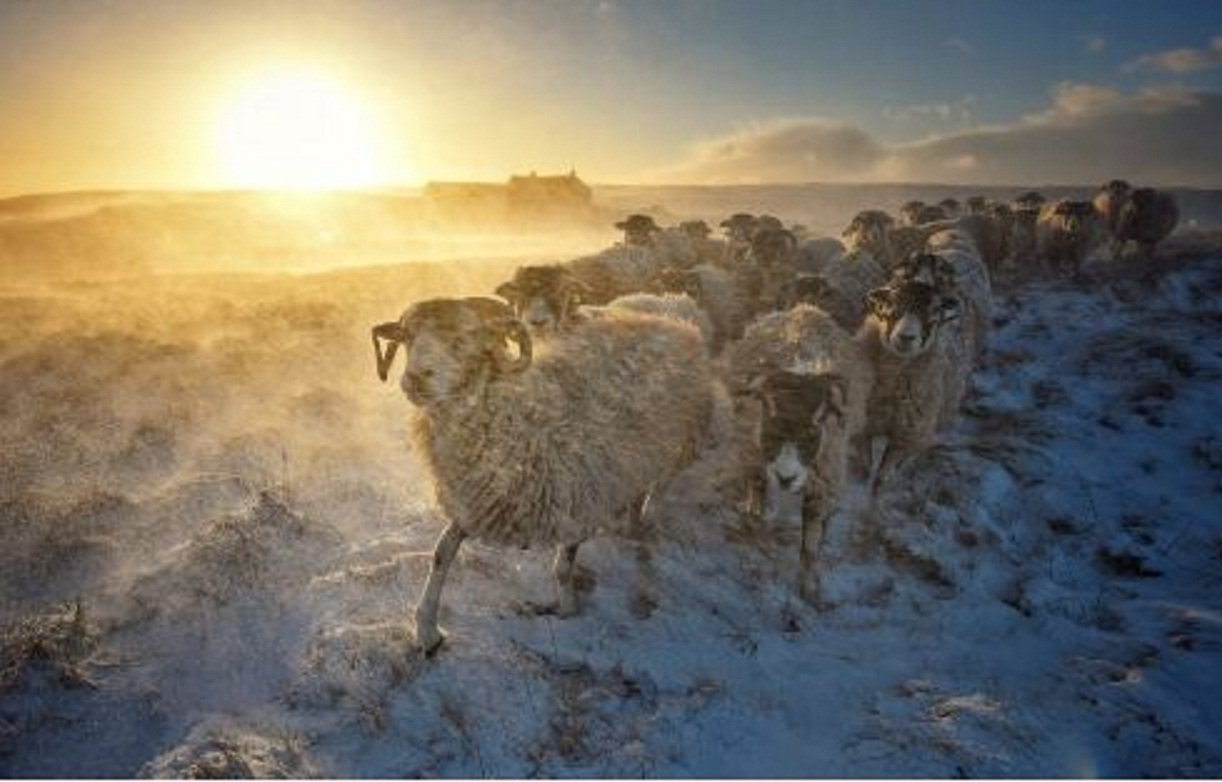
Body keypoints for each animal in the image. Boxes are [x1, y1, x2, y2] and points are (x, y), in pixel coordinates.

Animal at [371, 295, 713, 650]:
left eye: (465, 337)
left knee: (661, 484)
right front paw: (426, 629)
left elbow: (562, 566)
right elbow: (441, 553)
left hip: (683, 436)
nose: (415, 379)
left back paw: (646, 518)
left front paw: (565, 608)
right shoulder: (480, 497)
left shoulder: (580, 497)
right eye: (407, 337)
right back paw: (629, 520)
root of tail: (667, 304)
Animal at [723, 303, 870, 601]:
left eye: (814, 431)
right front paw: (754, 517)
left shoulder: (822, 485)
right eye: (770, 424)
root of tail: (805, 309)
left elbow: (811, 544)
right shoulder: (756, 455)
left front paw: (809, 585)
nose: (785, 478)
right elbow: (757, 487)